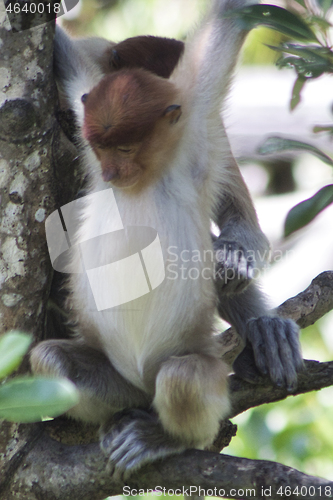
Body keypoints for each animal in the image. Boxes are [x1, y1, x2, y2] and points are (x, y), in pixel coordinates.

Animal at [29, 0, 302, 480]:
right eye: (105, 148)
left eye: (125, 148)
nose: (111, 173)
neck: (145, 177)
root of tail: (140, 385)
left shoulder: (197, 130)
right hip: (114, 379)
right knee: (52, 361)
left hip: (189, 368)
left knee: (184, 377)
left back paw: (161, 435)